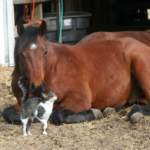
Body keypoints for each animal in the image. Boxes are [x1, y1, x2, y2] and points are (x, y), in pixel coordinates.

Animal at [2, 20, 150, 125]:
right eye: (22, 54)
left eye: (45, 52)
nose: (37, 86)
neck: (52, 70)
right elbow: (7, 112)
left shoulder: (79, 100)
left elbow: (57, 115)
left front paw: (94, 113)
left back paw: (135, 113)